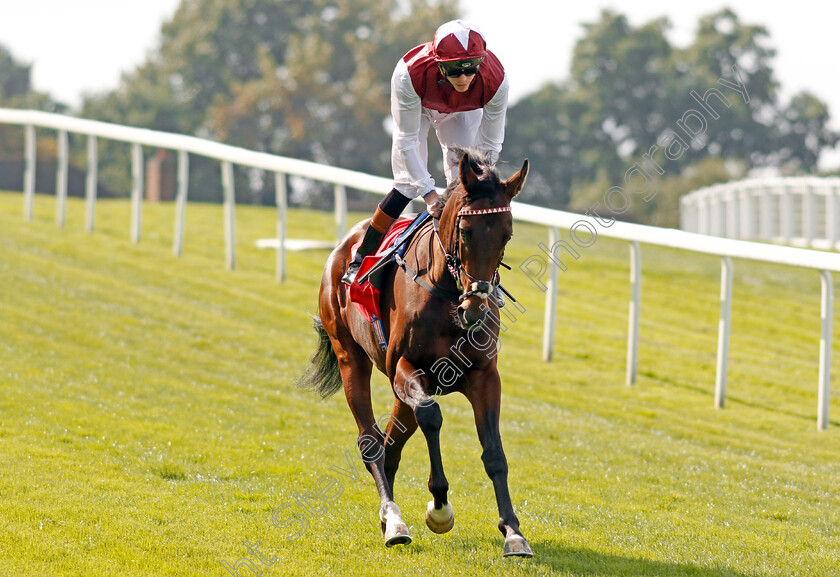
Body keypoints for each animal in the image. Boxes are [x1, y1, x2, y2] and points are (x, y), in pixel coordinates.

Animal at [296, 150, 532, 560]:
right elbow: (431, 415)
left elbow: (493, 450)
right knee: (371, 441)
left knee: (391, 444)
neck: (447, 293)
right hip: (351, 358)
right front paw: (439, 507)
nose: (475, 308)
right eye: (466, 232)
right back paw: (393, 520)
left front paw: (513, 531)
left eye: (507, 234)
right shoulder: (405, 368)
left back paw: (386, 514)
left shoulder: (484, 375)